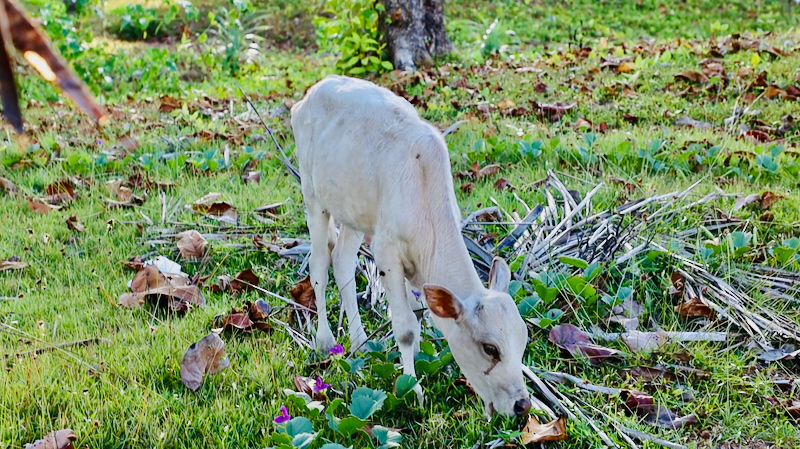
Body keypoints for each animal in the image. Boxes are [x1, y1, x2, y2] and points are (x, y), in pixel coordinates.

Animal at [292, 74, 532, 416]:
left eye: (523, 342)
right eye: (490, 348)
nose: (522, 405)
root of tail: (313, 92)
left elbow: (418, 314)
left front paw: (418, 357)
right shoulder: (386, 253)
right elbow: (405, 327)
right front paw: (412, 387)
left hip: (354, 212)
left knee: (342, 262)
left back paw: (360, 341)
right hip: (313, 197)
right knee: (320, 267)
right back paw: (324, 340)